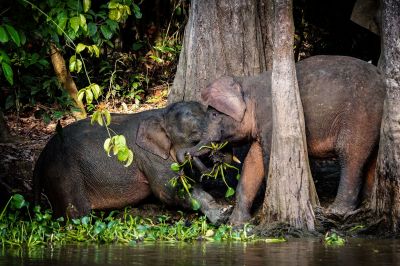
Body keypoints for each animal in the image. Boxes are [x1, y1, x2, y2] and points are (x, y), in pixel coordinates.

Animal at [32, 102, 233, 224]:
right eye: (194, 138)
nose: (217, 156)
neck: (162, 113)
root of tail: (42, 155)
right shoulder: (150, 155)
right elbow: (168, 190)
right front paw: (223, 215)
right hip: (64, 175)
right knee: (76, 217)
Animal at [177, 55, 386, 225]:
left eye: (213, 114)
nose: (187, 155)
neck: (247, 81)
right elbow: (252, 162)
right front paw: (236, 224)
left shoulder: (272, 118)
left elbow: (269, 160)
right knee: (371, 159)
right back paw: (367, 205)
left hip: (360, 115)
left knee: (351, 157)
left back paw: (337, 212)